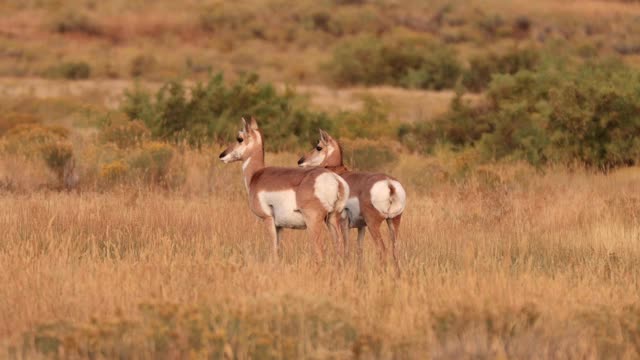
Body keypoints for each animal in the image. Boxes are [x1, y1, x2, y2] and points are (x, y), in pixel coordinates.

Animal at [220, 117, 350, 262]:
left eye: (239, 138)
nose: (222, 155)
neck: (256, 175)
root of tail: (335, 179)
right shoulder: (280, 227)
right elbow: (278, 249)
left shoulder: (268, 220)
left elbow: (273, 250)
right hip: (331, 219)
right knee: (340, 247)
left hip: (313, 223)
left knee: (320, 252)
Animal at [298, 129, 408, 272]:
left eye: (318, 147)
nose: (300, 161)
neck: (340, 173)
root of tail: (389, 184)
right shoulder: (361, 226)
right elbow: (359, 249)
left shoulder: (342, 223)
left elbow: (343, 247)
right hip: (393, 221)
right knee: (395, 249)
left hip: (374, 224)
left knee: (382, 249)